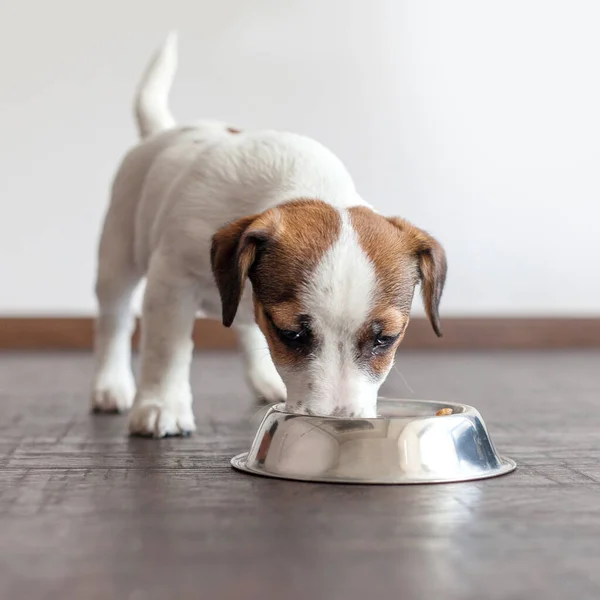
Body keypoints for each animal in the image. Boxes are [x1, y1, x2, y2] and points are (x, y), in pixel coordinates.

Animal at [90, 32, 446, 436]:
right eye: (292, 334)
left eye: (385, 338)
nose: (339, 422)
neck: (304, 184)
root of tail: (161, 132)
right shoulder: (171, 281)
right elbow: (167, 348)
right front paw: (161, 405)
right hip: (117, 257)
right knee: (114, 320)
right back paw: (110, 384)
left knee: (244, 325)